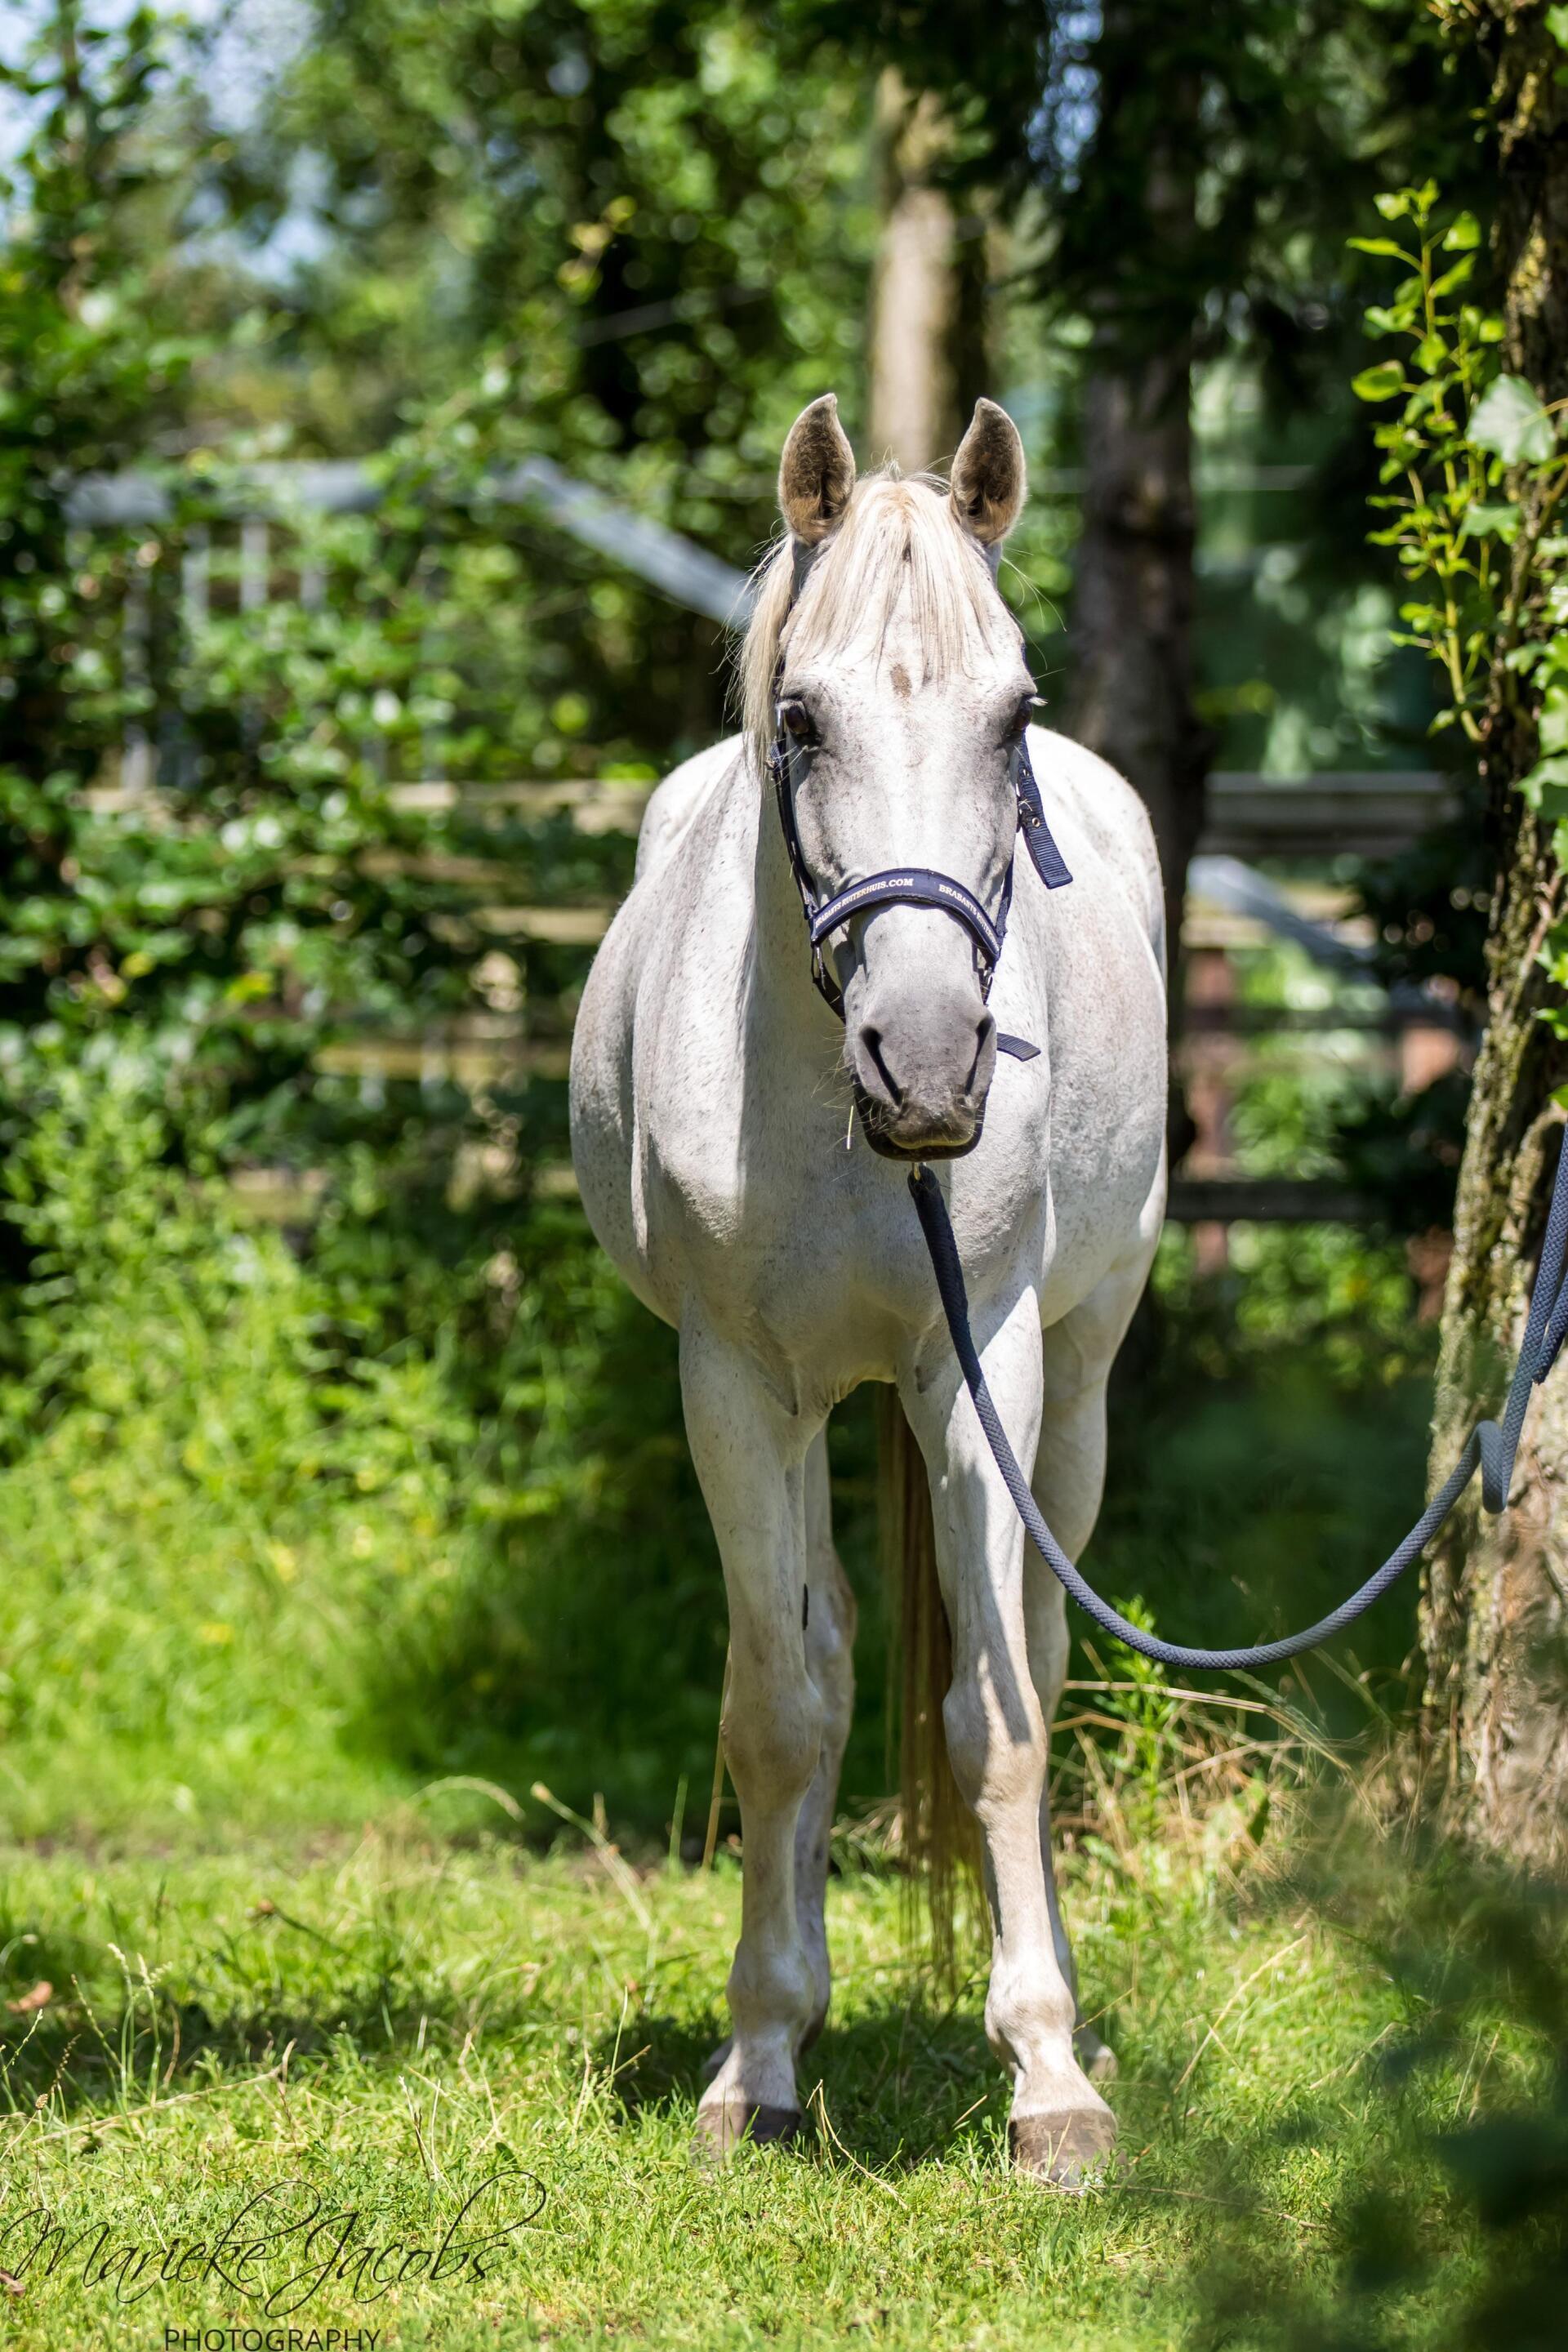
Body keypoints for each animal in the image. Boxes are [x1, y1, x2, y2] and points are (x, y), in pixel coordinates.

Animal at [569, 392, 1168, 2185]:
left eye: (1014, 716)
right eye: (803, 720)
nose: (929, 1062)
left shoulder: (989, 1373)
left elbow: (1000, 1719)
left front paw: (1049, 2079)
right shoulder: (732, 1388)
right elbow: (781, 1713)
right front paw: (759, 2058)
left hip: (1080, 1382)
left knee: (1034, 1647)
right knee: (823, 1660)